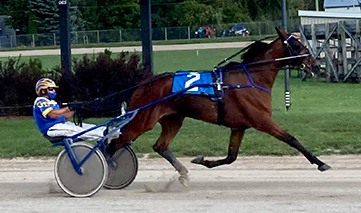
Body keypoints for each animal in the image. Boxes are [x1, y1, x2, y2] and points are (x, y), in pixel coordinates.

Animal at [106, 27, 330, 186]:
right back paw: (107, 171)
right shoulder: (262, 120)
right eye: (297, 45)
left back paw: (183, 173)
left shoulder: (239, 126)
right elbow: (291, 139)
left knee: (159, 146)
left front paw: (201, 160)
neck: (252, 78)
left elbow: (231, 157)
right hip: (143, 120)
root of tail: (143, 85)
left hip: (173, 119)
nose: (315, 64)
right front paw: (321, 163)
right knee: (114, 144)